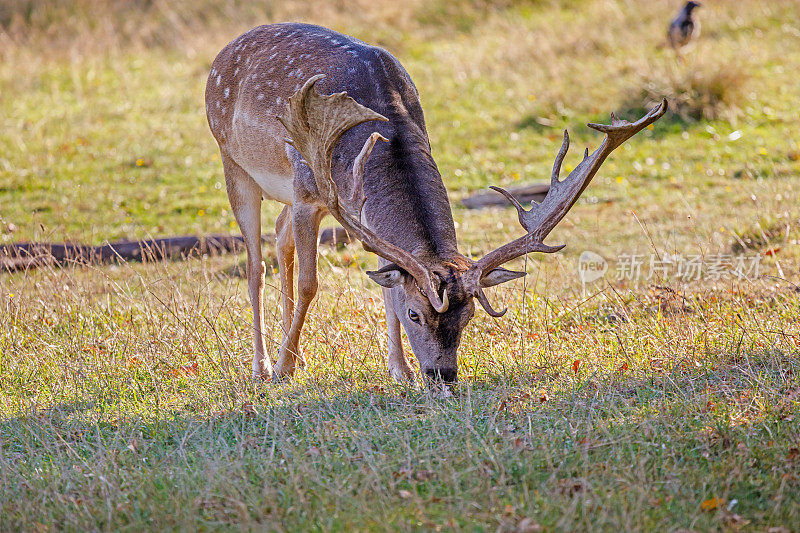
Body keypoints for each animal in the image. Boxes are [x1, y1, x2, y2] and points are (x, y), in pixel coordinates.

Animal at [206, 22, 668, 382]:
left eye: (468, 317)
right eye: (416, 314)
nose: (442, 374)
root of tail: (221, 55)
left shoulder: (358, 212)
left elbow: (385, 285)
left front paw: (399, 370)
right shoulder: (308, 191)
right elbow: (310, 283)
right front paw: (284, 370)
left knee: (280, 236)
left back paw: (295, 354)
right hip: (234, 162)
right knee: (256, 265)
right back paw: (265, 366)